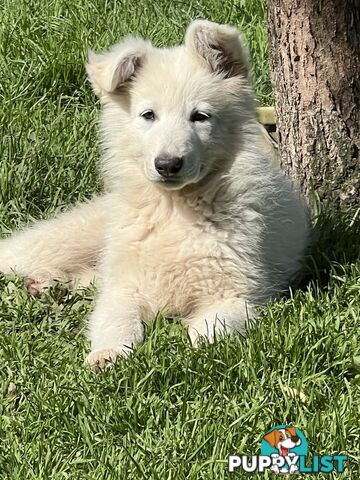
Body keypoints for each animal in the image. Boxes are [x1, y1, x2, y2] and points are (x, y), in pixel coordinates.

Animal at [0, 20, 310, 370]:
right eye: (148, 115)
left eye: (200, 116)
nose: (167, 165)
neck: (174, 208)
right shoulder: (124, 287)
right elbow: (115, 319)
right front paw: (108, 353)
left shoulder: (237, 293)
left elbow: (207, 334)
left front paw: (188, 354)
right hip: (68, 240)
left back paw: (47, 285)